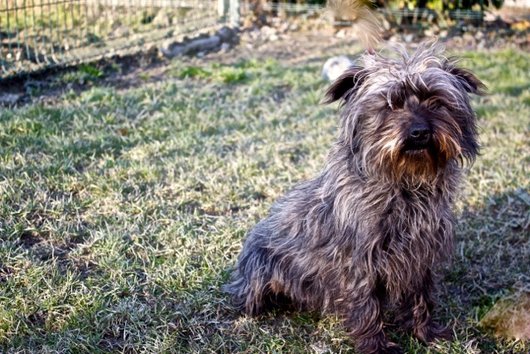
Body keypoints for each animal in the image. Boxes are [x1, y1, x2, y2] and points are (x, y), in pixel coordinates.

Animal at [223, 42, 482, 354]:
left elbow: (421, 298)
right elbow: (366, 305)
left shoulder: (421, 255)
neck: (404, 184)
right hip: (261, 272)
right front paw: (376, 346)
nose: (419, 132)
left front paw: (426, 333)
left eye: (436, 102)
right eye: (390, 105)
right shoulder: (360, 262)